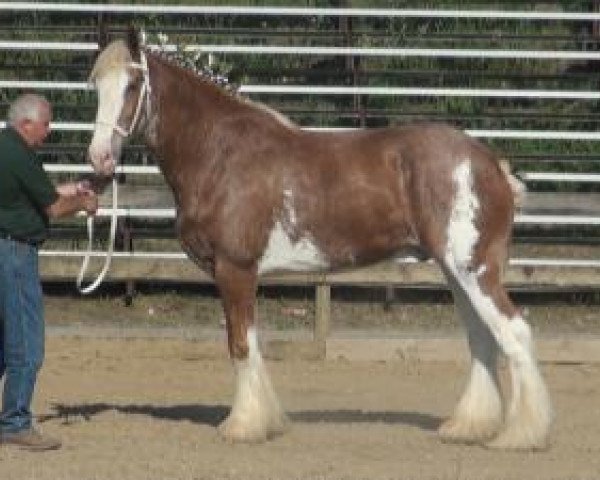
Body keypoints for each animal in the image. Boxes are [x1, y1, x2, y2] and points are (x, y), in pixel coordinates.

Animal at [86, 31, 552, 452]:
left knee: (514, 332)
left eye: (132, 84)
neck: (220, 152)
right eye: (95, 86)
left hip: (474, 270)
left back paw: (521, 436)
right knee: (481, 339)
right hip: (456, 272)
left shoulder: (235, 269)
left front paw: (243, 426)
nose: (99, 158)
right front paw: (266, 420)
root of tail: (489, 163)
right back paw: (468, 427)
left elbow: (240, 344)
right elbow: (250, 343)